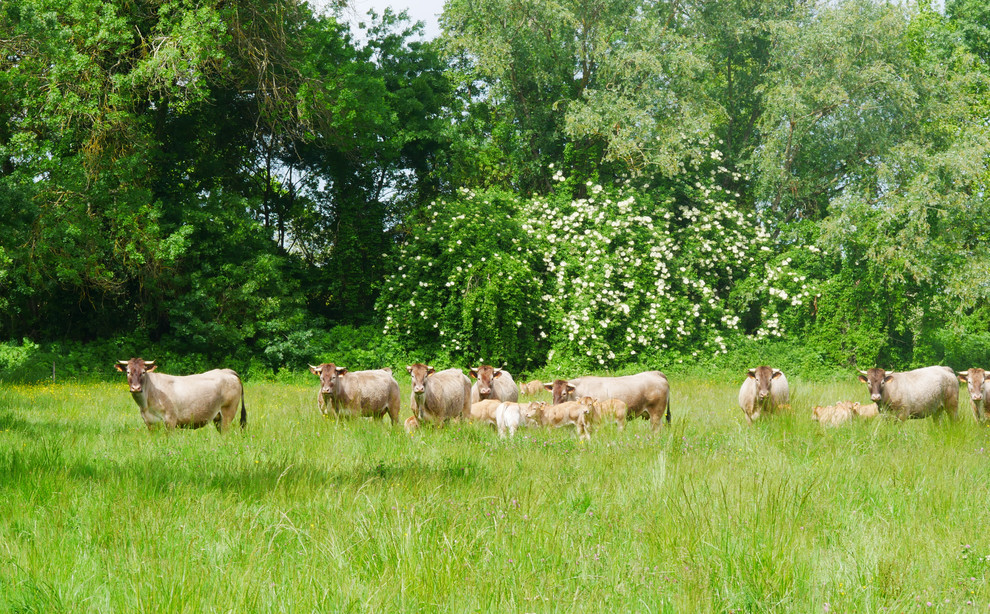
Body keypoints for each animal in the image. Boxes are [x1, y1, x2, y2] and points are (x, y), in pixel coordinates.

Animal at [116, 356, 246, 434]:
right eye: (128, 372)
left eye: (143, 372)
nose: (136, 388)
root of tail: (226, 371)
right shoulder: (149, 422)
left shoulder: (170, 420)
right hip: (218, 418)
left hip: (228, 412)